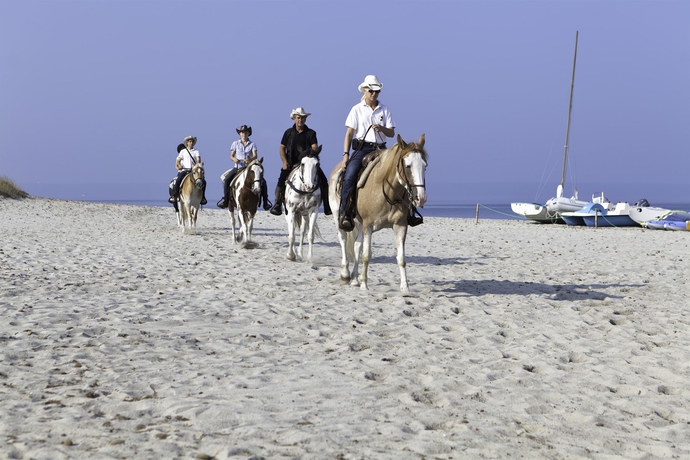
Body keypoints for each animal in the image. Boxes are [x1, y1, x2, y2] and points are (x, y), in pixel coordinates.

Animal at [328, 134, 428, 294]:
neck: (387, 192)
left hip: (359, 222)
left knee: (356, 245)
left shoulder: (400, 226)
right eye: (408, 166)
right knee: (343, 240)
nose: (421, 198)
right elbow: (366, 255)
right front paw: (364, 285)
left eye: (425, 166)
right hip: (339, 216)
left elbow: (401, 258)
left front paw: (405, 288)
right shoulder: (368, 226)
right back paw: (345, 275)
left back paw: (354, 279)